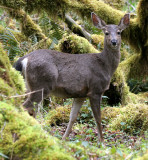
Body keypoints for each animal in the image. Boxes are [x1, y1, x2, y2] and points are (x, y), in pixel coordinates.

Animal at [13, 13, 130, 142]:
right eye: (106, 33)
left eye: (119, 32)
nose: (114, 42)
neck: (105, 66)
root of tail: (24, 59)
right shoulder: (95, 89)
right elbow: (98, 118)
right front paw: (101, 142)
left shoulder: (81, 94)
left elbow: (72, 117)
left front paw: (64, 139)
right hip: (41, 85)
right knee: (24, 107)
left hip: (28, 86)